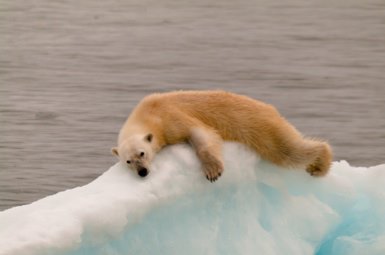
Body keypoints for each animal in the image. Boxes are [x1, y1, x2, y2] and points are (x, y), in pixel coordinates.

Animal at [110, 89, 330, 181]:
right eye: (128, 161)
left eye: (142, 153)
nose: (142, 172)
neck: (146, 115)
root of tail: (271, 109)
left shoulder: (169, 116)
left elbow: (202, 133)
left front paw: (212, 171)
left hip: (262, 125)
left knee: (286, 149)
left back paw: (320, 165)